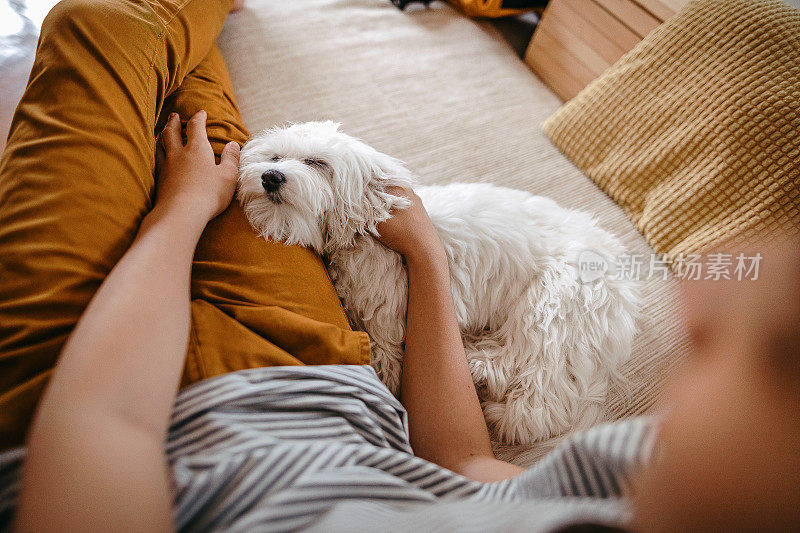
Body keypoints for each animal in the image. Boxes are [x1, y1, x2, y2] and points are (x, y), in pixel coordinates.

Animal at [236, 121, 636, 444]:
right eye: (275, 156)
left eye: (317, 164)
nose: (270, 176)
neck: (364, 234)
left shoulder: (388, 323)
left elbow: (386, 362)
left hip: (551, 304)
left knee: (539, 391)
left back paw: (493, 389)